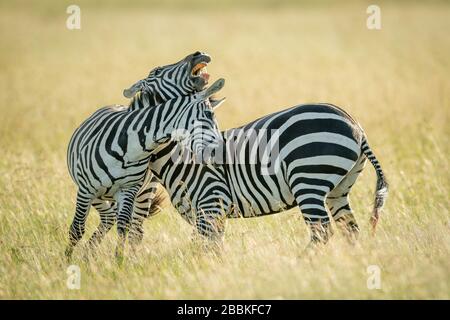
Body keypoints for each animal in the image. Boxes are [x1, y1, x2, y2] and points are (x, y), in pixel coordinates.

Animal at [64, 77, 223, 260]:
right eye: (209, 114)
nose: (221, 150)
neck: (131, 149)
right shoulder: (86, 189)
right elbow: (77, 229)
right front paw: (66, 260)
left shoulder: (128, 189)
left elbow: (124, 227)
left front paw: (119, 261)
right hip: (94, 192)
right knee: (107, 217)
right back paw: (88, 254)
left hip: (144, 192)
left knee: (133, 229)